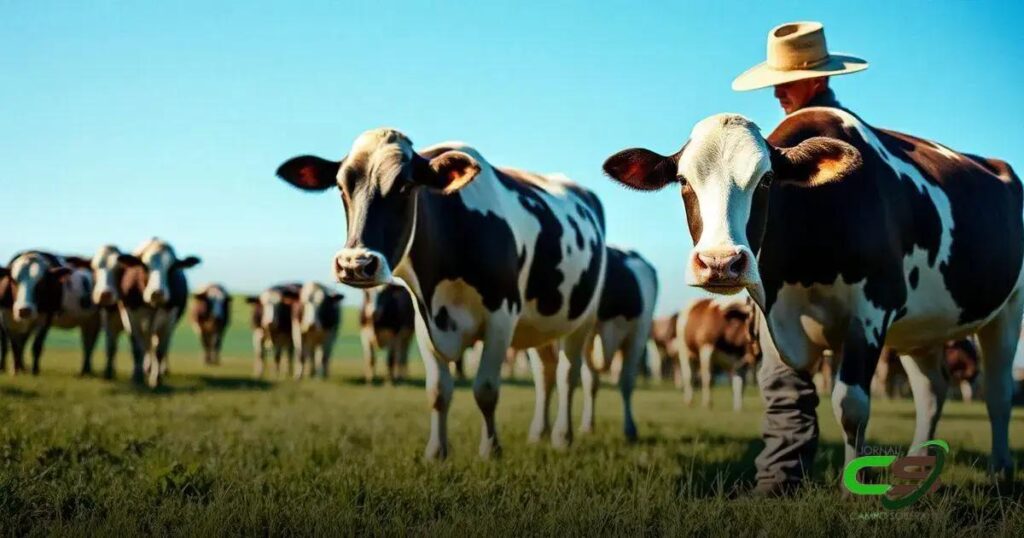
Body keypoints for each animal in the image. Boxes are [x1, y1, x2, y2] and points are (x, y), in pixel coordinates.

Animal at [115, 238, 201, 387]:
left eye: (172, 267)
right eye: (144, 266)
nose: (157, 293)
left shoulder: (168, 320)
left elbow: (160, 350)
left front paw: (156, 379)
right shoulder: (130, 316)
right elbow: (137, 348)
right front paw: (137, 376)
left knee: (157, 346)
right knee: (146, 344)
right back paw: (146, 367)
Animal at [276, 128, 606, 458]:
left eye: (405, 186)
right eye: (342, 187)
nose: (355, 264)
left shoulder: (502, 315)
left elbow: (486, 389)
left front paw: (490, 450)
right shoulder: (424, 321)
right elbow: (437, 391)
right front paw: (436, 453)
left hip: (584, 318)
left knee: (567, 375)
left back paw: (562, 436)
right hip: (540, 323)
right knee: (544, 375)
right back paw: (539, 433)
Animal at [604, 110, 1023, 476]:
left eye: (767, 180)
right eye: (683, 181)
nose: (721, 262)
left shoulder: (872, 312)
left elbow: (851, 406)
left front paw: (853, 487)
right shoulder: (780, 319)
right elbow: (791, 403)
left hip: (1008, 311)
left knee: (998, 392)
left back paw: (1001, 468)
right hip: (921, 331)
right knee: (932, 392)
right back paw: (918, 467)